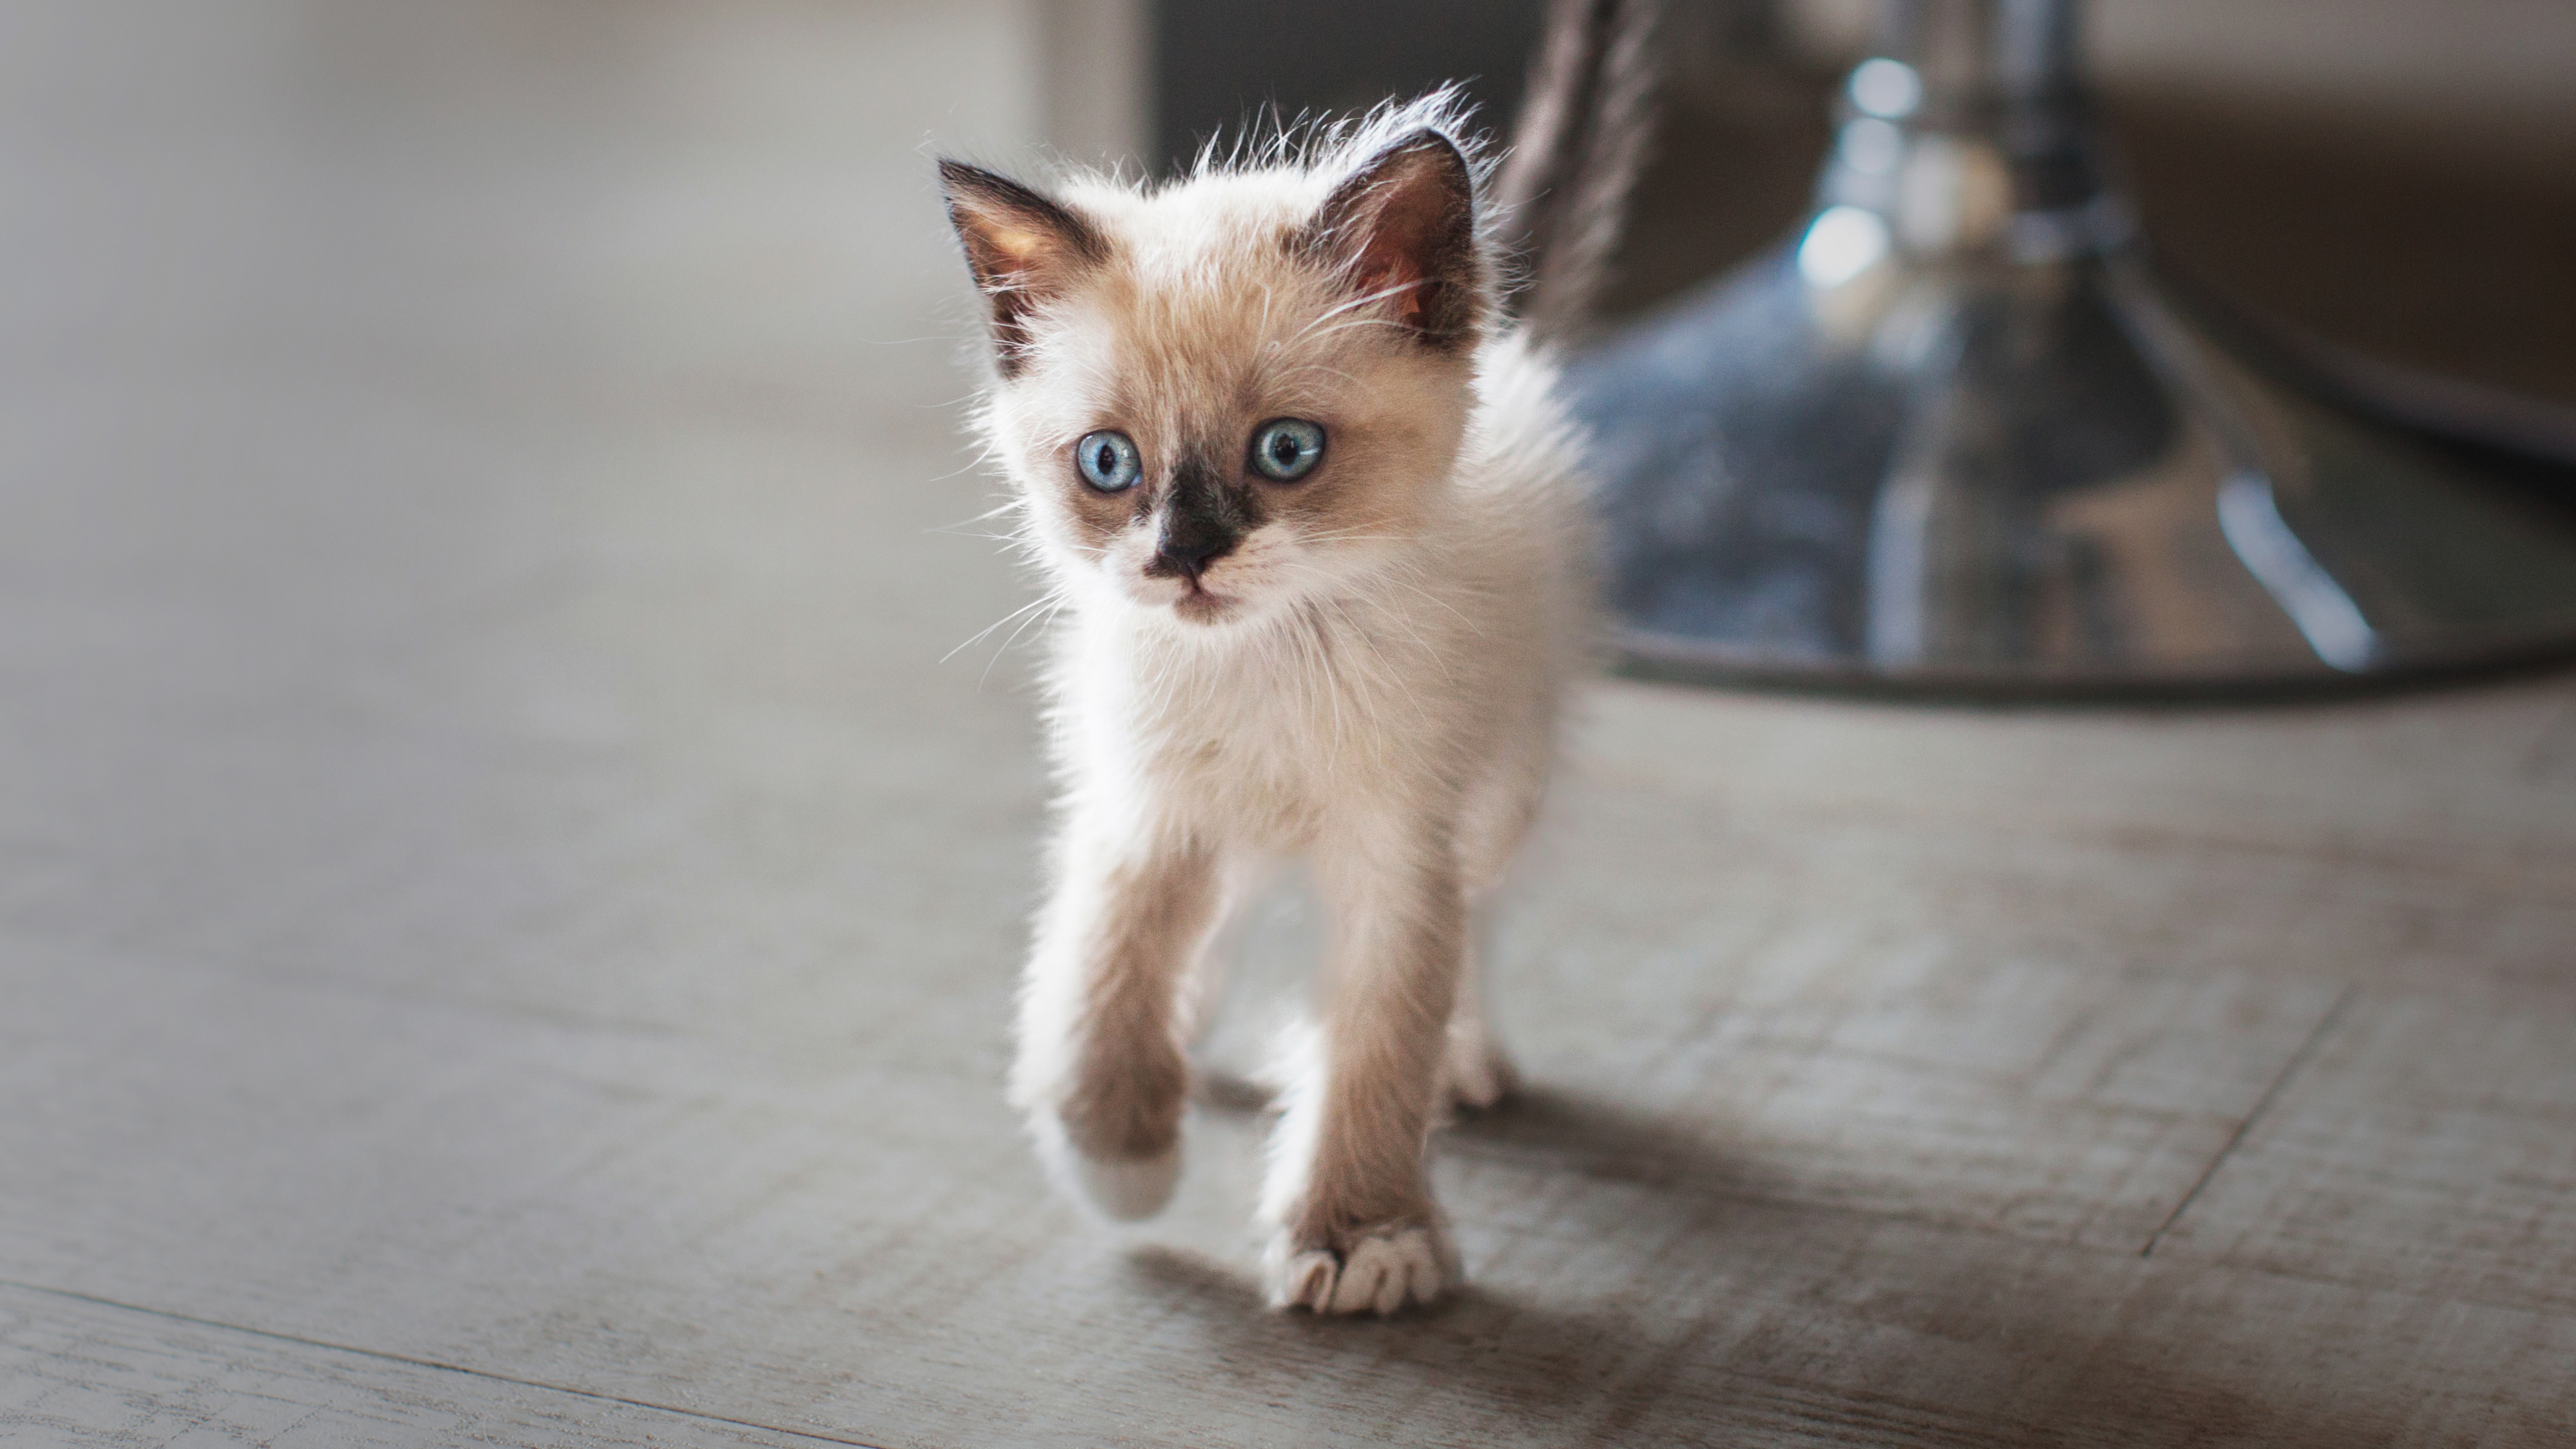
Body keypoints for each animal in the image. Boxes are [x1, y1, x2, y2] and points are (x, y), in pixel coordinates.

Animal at [943, 93, 1587, 1309]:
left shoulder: (1399, 851)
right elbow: (1100, 980)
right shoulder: (1144, 812)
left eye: (1287, 450)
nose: (1185, 559)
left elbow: (1379, 1043)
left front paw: (1362, 1239)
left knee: (1473, 928)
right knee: (1219, 913)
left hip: (1501, 795)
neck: (1263, 666)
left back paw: (1466, 1059)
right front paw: (1120, 1163)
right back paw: (1191, 1038)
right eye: (1109, 464)